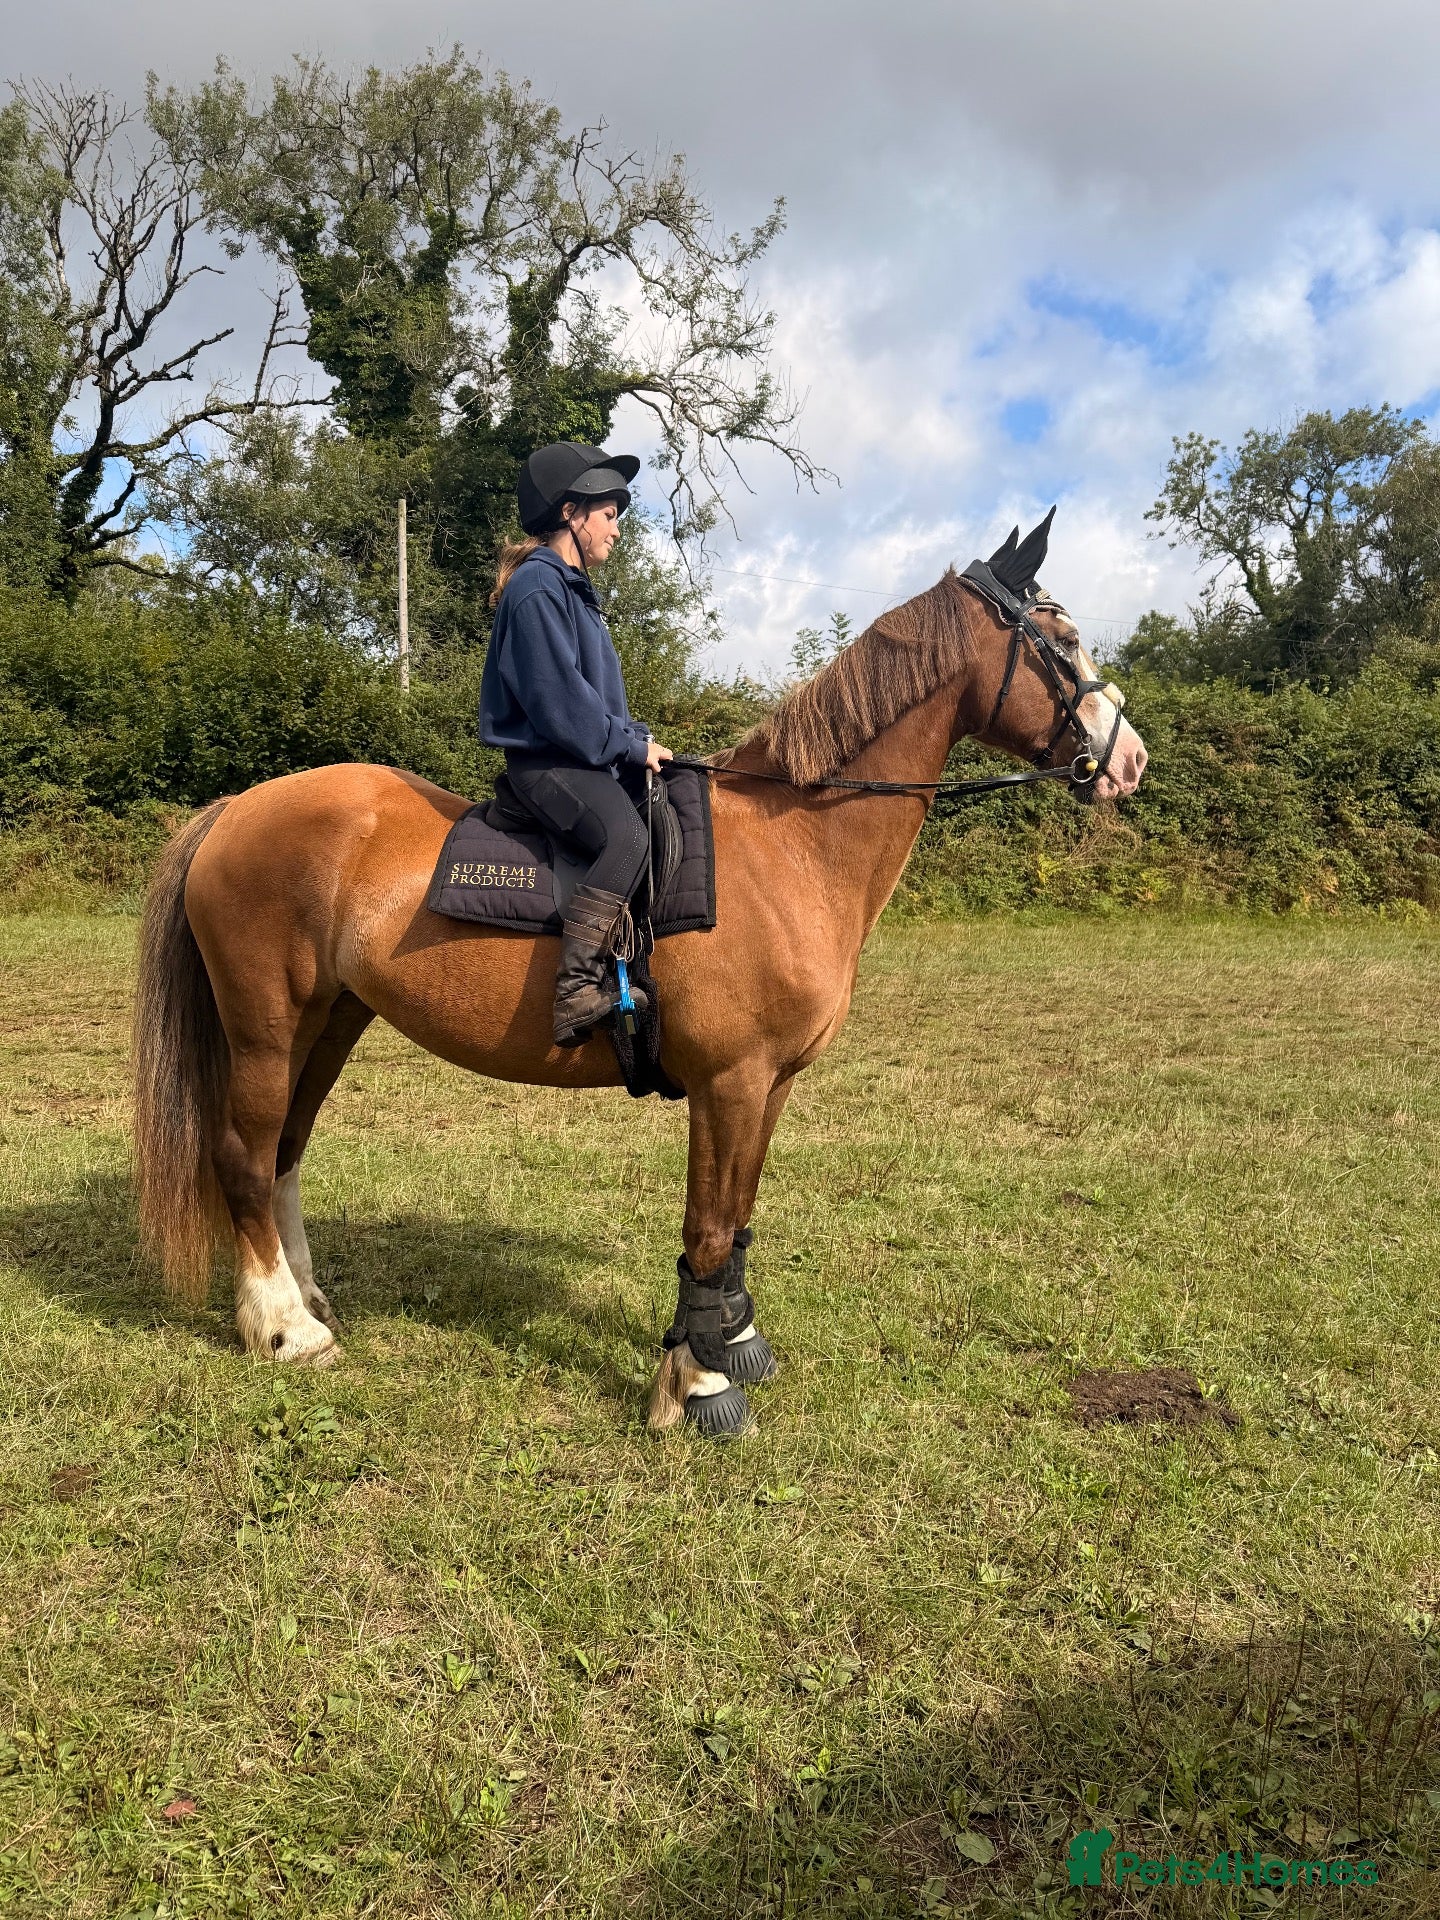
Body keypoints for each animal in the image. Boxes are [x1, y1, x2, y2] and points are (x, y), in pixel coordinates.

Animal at [131, 518, 1147, 1435]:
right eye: (1060, 642)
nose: (1130, 760)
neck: (789, 845)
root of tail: (232, 809)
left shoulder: (769, 1086)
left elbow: (738, 1219)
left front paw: (731, 1342)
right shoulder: (728, 1083)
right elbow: (707, 1226)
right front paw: (696, 1386)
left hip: (333, 1019)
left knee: (284, 1151)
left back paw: (306, 1303)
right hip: (266, 1024)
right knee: (244, 1154)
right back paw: (284, 1331)